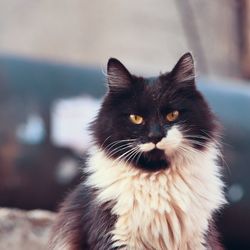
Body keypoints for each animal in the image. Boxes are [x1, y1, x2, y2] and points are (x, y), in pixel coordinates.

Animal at [49, 52, 226, 250]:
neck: (156, 178)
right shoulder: (114, 236)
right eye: (136, 118)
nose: (155, 136)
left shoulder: (199, 239)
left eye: (172, 115)